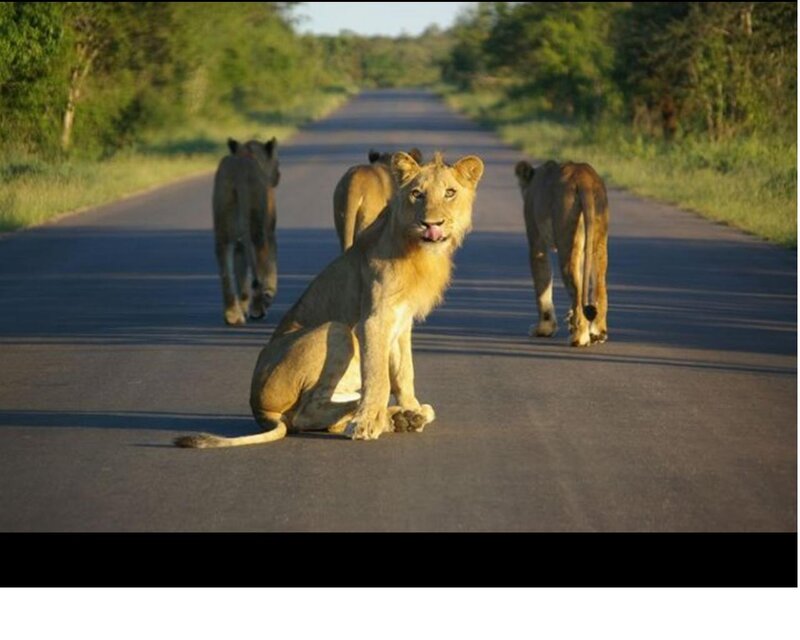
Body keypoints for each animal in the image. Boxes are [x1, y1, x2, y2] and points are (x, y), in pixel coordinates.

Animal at [212, 137, 280, 326]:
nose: (278, 175)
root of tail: (238, 173)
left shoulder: (239, 242)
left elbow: (240, 271)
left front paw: (243, 304)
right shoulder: (269, 230)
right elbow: (271, 264)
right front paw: (269, 293)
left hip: (223, 227)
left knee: (225, 266)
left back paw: (232, 315)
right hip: (257, 229)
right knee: (259, 263)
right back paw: (258, 308)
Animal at [514, 160, 609, 347]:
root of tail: (584, 177)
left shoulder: (537, 242)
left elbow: (542, 286)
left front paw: (543, 329)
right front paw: (569, 319)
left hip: (566, 238)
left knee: (576, 291)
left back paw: (579, 338)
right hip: (597, 241)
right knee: (599, 286)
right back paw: (597, 333)